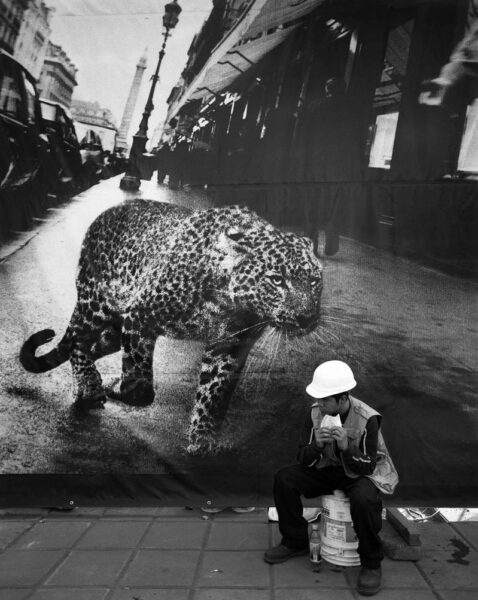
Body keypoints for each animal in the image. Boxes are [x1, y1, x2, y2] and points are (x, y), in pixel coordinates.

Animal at [20, 199, 324, 452]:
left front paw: (203, 438)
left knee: (92, 345)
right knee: (77, 339)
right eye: (276, 280)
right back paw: (90, 384)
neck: (229, 301)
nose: (307, 318)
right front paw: (120, 387)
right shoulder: (141, 315)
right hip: (95, 305)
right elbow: (140, 387)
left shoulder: (231, 344)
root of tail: (106, 213)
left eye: (314, 281)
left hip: (114, 331)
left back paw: (88, 383)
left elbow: (214, 393)